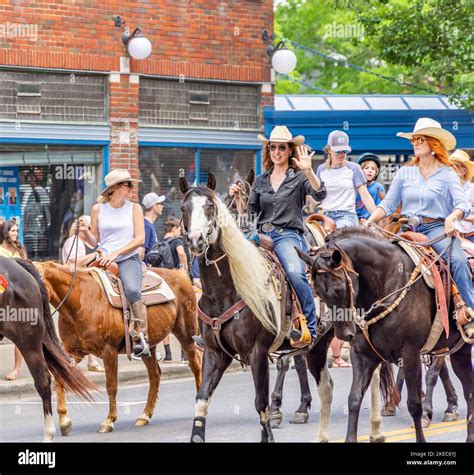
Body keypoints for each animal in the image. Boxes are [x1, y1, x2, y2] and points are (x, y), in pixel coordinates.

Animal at [35, 262, 202, 436]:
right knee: (154, 375)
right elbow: (60, 379)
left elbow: (111, 385)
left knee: (196, 365)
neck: (80, 300)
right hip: (148, 348)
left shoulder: (109, 351)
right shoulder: (73, 351)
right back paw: (145, 415)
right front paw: (64, 421)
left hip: (186, 335)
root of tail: (181, 275)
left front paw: (109, 420)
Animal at [298, 229, 472, 444]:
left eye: (340, 288)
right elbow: (354, 399)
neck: (387, 283)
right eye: (318, 292)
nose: (344, 333)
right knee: (469, 389)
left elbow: (414, 404)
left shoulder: (410, 353)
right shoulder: (364, 355)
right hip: (460, 349)